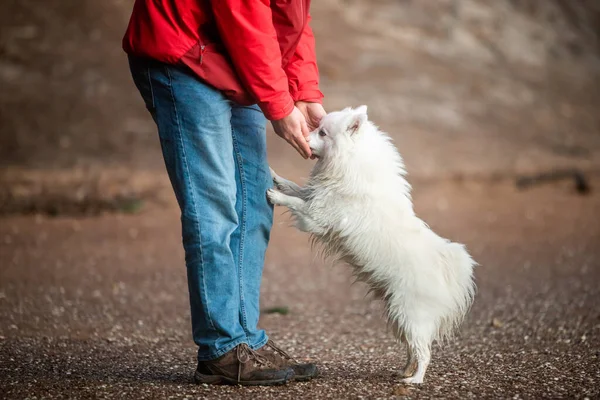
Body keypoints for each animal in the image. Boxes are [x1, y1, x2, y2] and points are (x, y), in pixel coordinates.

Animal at [270, 106, 476, 384]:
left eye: (322, 132)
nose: (302, 135)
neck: (352, 162)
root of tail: (448, 272)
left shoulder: (316, 216)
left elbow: (296, 202)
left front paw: (275, 195)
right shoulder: (316, 197)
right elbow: (296, 188)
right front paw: (275, 177)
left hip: (410, 314)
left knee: (424, 352)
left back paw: (414, 380)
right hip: (398, 316)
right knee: (412, 349)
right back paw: (404, 371)